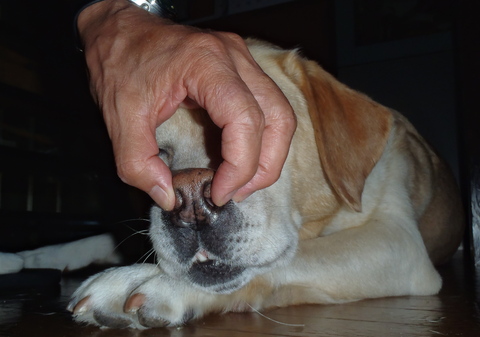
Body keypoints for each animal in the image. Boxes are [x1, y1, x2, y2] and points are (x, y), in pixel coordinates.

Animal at [65, 38, 464, 328]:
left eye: (258, 126)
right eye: (158, 152)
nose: (191, 204)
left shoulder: (398, 240)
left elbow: (295, 257)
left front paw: (146, 283)